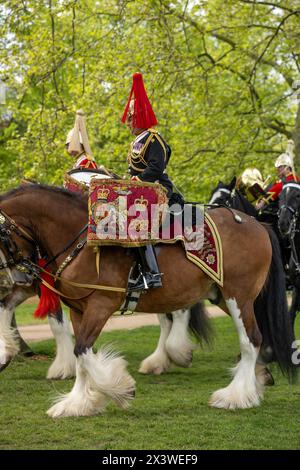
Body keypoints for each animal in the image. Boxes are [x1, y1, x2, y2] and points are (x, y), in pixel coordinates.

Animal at [0, 185, 296, 416]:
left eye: (2, 237)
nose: (16, 277)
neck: (81, 243)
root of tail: (257, 224)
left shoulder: (101, 305)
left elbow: (82, 350)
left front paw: (121, 388)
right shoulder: (78, 310)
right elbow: (81, 355)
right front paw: (78, 403)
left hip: (239, 297)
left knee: (251, 340)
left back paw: (236, 395)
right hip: (222, 296)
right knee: (255, 336)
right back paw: (258, 378)